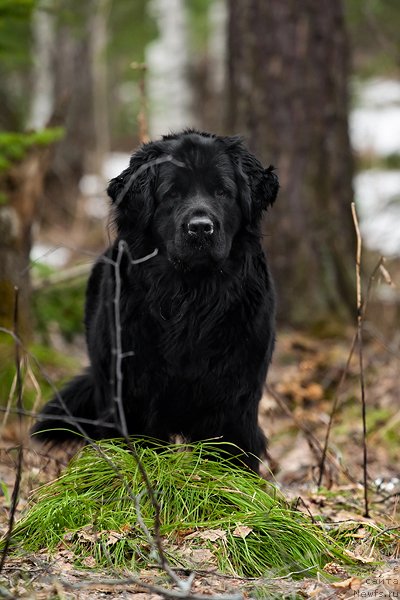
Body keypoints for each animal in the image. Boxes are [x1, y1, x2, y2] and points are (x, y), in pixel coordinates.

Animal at [32, 131, 278, 474]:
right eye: (172, 193)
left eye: (222, 191)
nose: (200, 227)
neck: (191, 296)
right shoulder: (133, 399)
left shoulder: (234, 401)